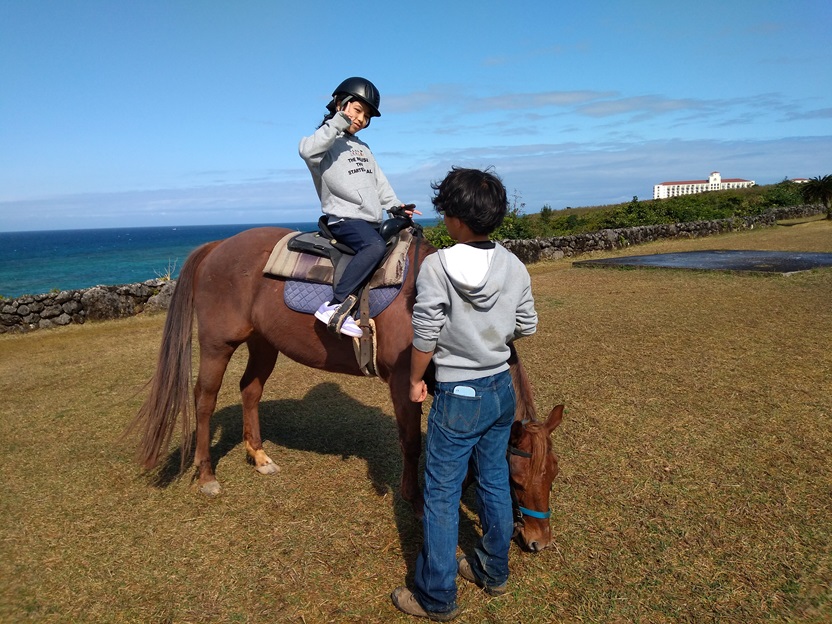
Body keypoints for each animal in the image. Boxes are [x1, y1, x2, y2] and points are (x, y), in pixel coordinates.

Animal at [130, 225, 563, 551]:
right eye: (517, 480)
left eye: (553, 474)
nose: (538, 541)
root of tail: (217, 246)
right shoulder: (404, 384)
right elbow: (411, 443)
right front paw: (415, 500)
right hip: (218, 343)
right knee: (204, 399)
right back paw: (206, 476)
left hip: (263, 343)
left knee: (250, 390)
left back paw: (260, 456)